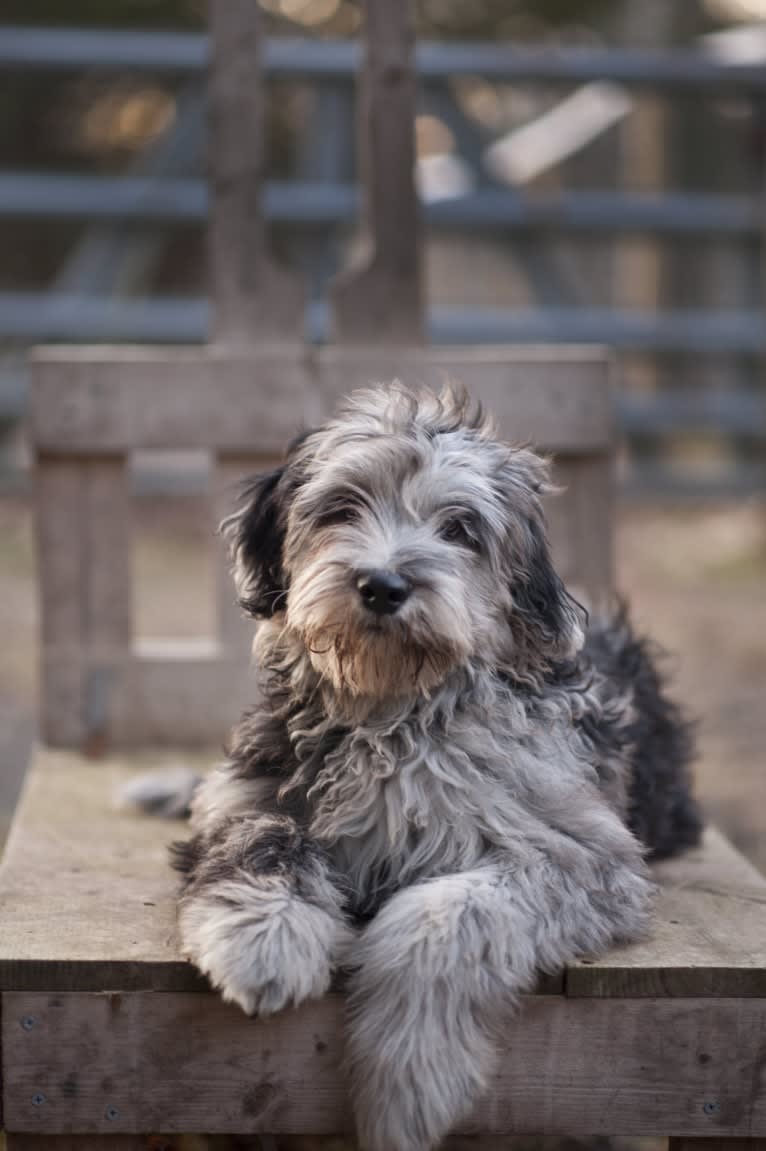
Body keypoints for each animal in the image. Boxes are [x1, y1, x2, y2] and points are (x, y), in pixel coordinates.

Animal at [135, 384, 699, 1151]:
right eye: (342, 507)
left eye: (460, 529)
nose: (382, 584)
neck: (393, 712)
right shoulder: (248, 791)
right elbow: (261, 838)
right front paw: (263, 939)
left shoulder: (581, 855)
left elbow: (444, 913)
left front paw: (408, 1081)